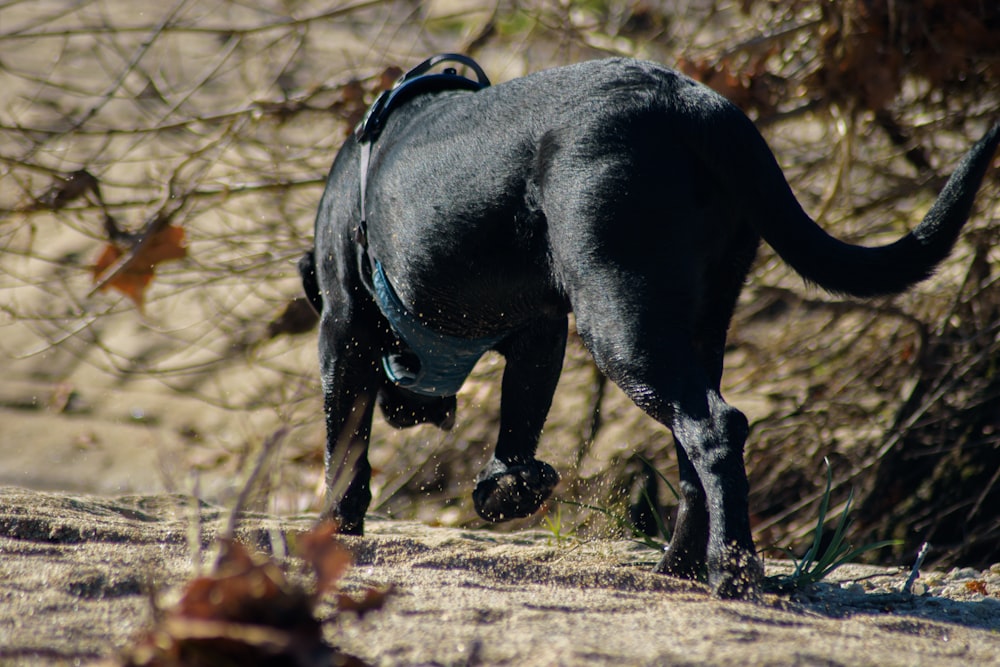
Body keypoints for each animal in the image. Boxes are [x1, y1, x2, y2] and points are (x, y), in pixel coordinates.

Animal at [304, 54, 1000, 596]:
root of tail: (696, 107)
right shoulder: (540, 338)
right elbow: (518, 426)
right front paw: (511, 488)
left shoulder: (343, 333)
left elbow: (346, 450)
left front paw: (335, 534)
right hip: (691, 324)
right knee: (699, 451)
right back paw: (679, 568)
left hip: (619, 323)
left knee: (714, 428)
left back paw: (730, 574)